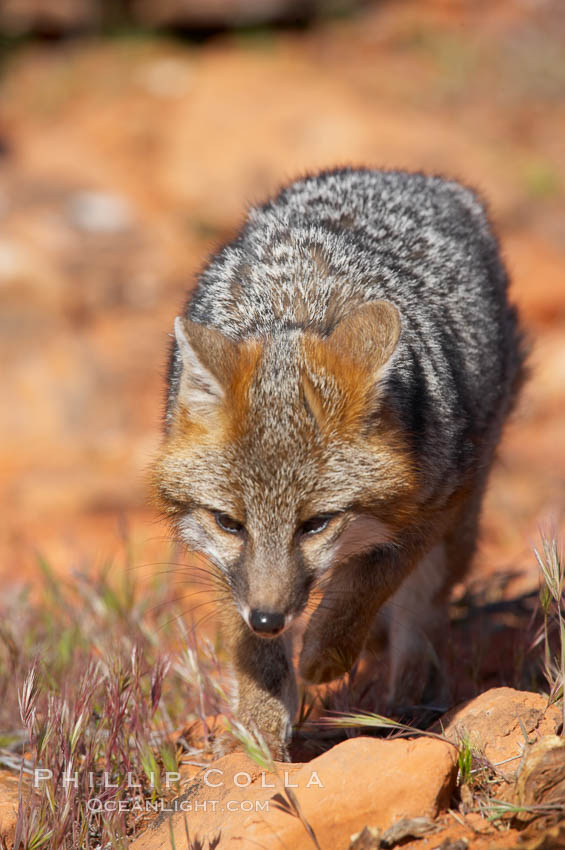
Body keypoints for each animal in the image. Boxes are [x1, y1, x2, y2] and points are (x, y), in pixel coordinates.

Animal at [151, 164, 524, 756]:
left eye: (316, 524)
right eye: (231, 523)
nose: (268, 619)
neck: (294, 303)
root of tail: (401, 174)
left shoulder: (426, 509)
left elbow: (361, 592)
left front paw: (325, 656)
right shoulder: (223, 560)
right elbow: (249, 649)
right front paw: (261, 726)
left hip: (461, 516)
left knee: (422, 615)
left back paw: (410, 702)